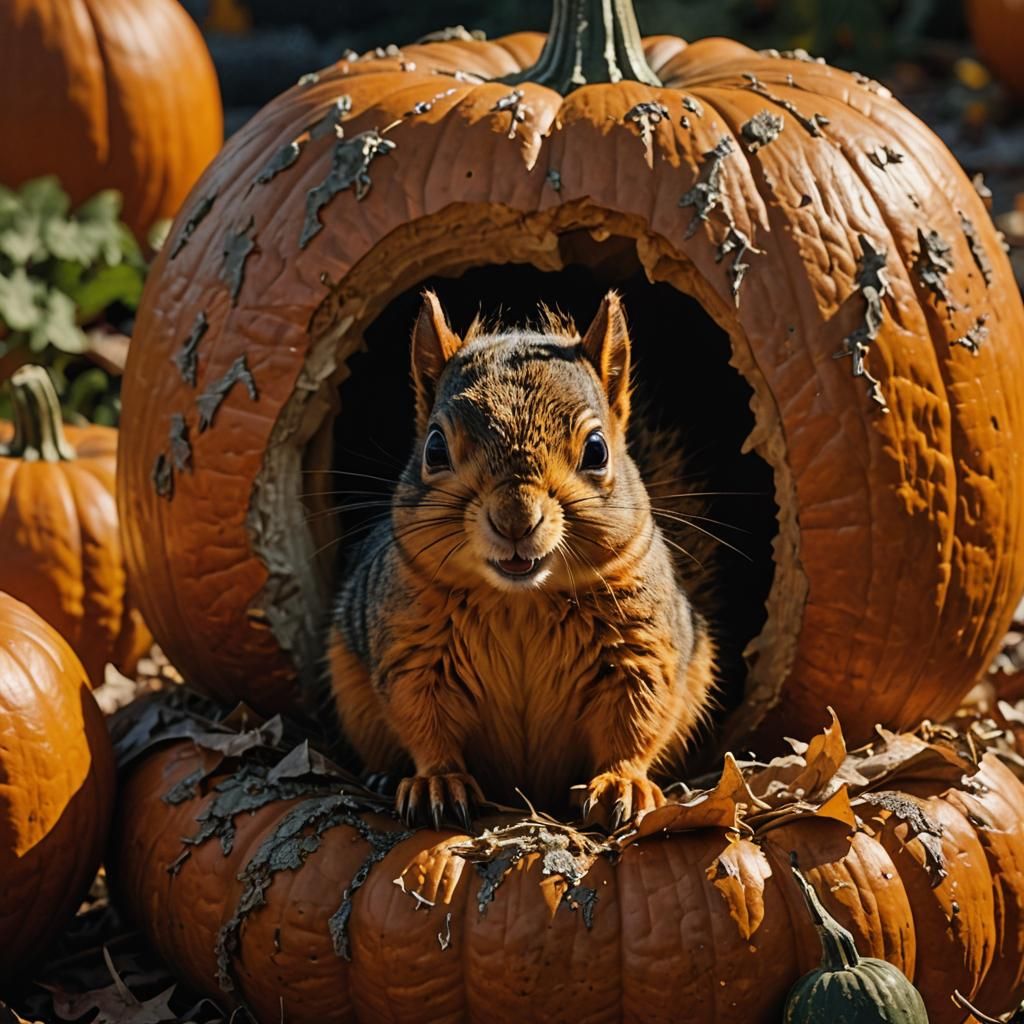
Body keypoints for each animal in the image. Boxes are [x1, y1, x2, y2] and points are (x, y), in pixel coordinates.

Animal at [328, 290, 716, 831]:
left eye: (597, 450)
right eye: (434, 448)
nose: (515, 519)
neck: (521, 601)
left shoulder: (639, 650)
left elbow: (634, 721)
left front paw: (622, 783)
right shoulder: (413, 650)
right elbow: (423, 719)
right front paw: (437, 782)